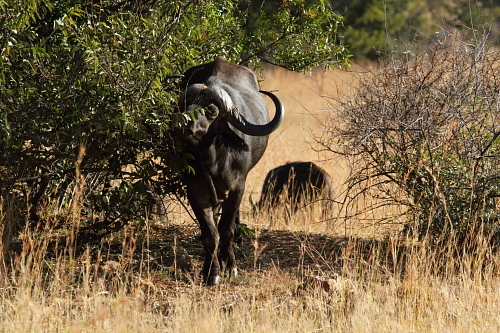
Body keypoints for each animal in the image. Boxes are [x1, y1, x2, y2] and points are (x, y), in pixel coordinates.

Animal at [175, 55, 286, 284]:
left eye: (211, 111)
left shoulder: (238, 187)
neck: (214, 162)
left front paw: (231, 267)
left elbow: (225, 230)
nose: (182, 124)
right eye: (186, 104)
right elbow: (210, 234)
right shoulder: (195, 190)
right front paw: (211, 272)